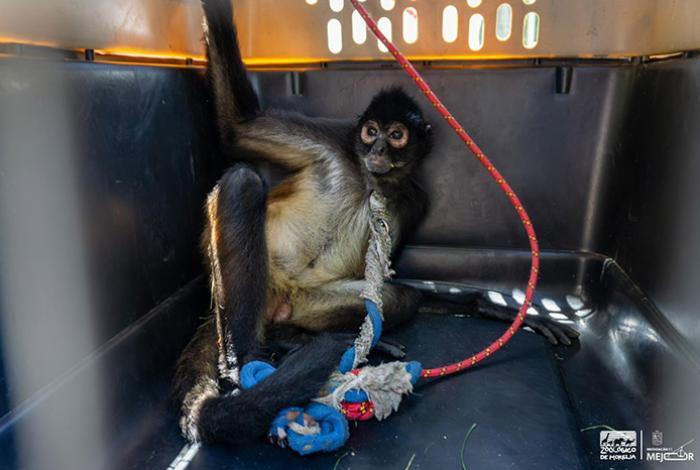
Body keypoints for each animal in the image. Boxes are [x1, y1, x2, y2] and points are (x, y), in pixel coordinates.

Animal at [172, 0, 579, 447]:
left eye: (396, 135)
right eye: (370, 131)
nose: (379, 149)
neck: (372, 180)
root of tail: (278, 297)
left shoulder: (414, 197)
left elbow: (393, 280)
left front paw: (490, 307)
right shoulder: (336, 138)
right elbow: (238, 127)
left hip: (308, 300)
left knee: (399, 298)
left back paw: (295, 339)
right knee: (243, 181)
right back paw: (242, 362)